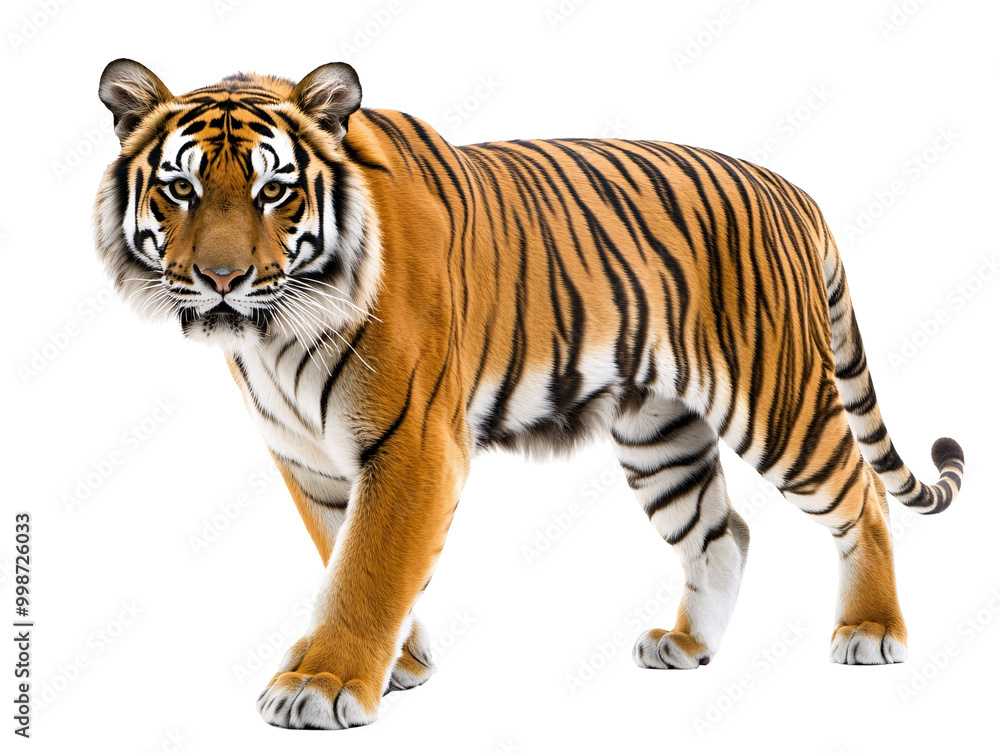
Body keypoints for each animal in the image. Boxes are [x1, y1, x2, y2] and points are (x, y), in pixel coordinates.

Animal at [94, 58, 964, 730]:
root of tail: (792, 189)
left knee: (862, 497)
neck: (277, 333)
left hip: (778, 400)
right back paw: (689, 647)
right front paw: (398, 662)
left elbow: (367, 567)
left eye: (274, 193)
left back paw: (870, 631)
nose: (222, 278)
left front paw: (324, 683)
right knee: (724, 532)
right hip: (659, 435)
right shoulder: (309, 461)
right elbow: (345, 553)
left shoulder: (413, 443)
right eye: (179, 189)